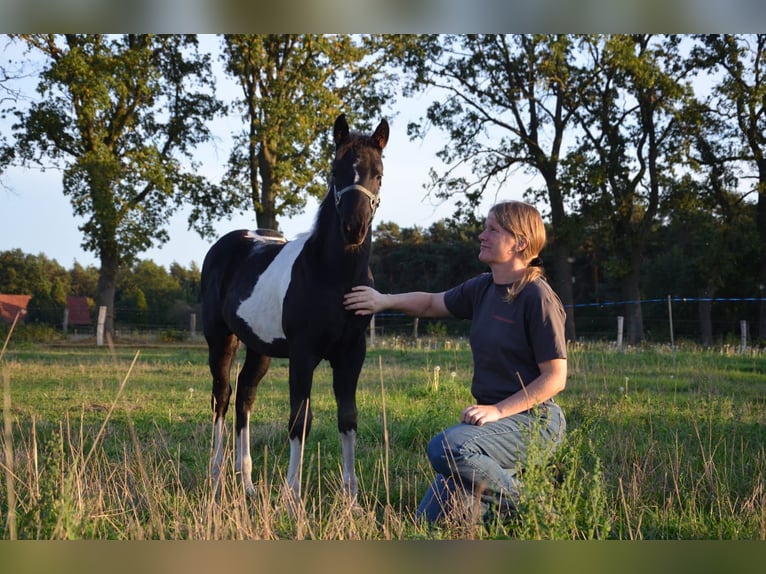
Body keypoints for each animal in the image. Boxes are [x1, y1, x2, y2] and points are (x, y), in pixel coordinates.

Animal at [201, 114, 389, 506]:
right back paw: (216, 478)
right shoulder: (303, 354)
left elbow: (348, 418)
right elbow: (300, 419)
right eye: (335, 171)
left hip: (259, 348)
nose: (353, 228)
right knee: (222, 397)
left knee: (245, 397)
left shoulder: (352, 353)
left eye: (378, 173)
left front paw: (352, 500)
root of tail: (227, 244)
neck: (333, 275)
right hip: (221, 341)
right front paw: (292, 498)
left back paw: (247, 484)